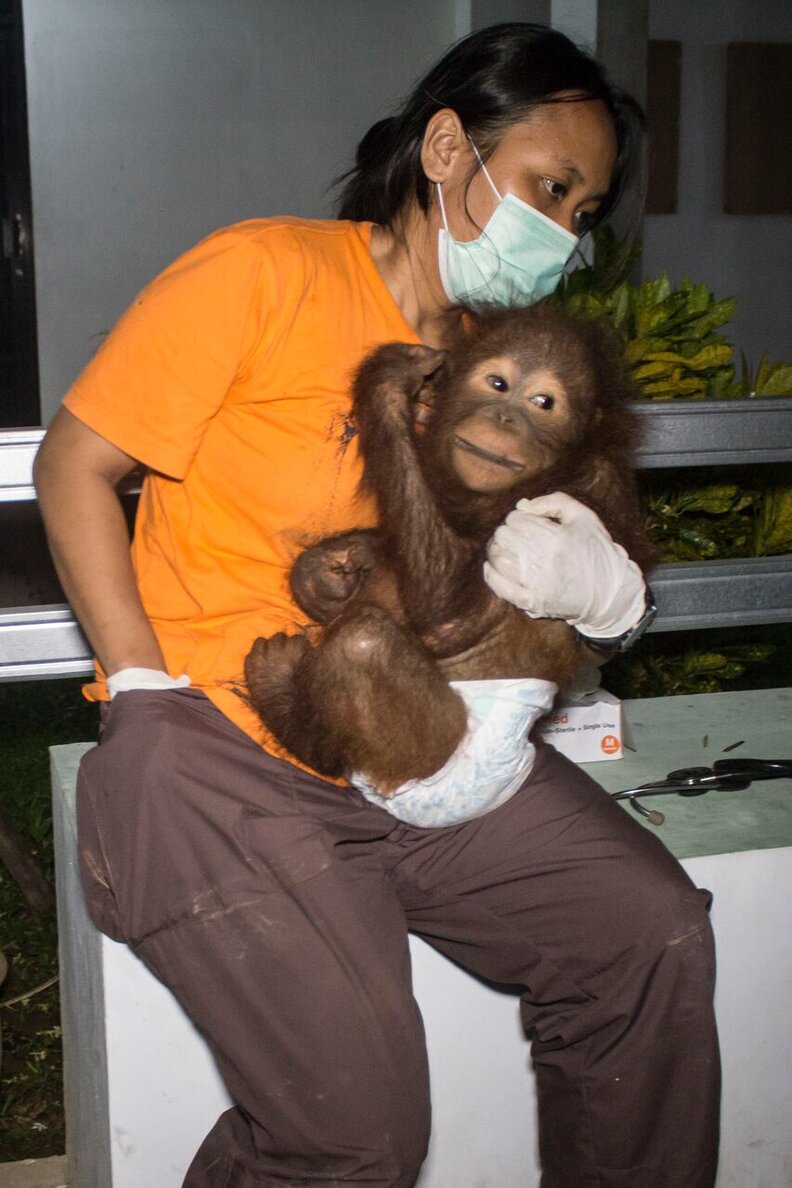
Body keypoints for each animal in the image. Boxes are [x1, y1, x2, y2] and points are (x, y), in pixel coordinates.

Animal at [244, 302, 653, 798]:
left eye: (543, 403)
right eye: (498, 384)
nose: (504, 418)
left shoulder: (578, 497)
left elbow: (447, 617)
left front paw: (388, 377)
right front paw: (327, 573)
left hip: (430, 754)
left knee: (362, 643)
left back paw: (283, 698)